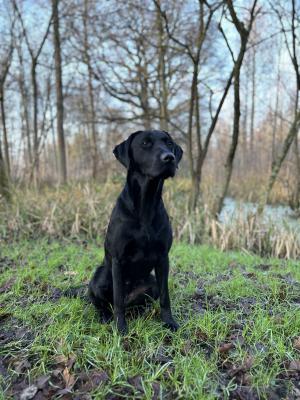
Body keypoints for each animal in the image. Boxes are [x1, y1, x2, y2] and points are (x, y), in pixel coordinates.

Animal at [88, 130, 183, 332]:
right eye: (145, 143)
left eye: (169, 143)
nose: (169, 158)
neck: (145, 204)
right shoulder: (118, 260)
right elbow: (118, 300)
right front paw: (121, 329)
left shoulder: (163, 258)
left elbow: (165, 296)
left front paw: (169, 322)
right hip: (100, 277)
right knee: (105, 303)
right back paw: (105, 317)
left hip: (151, 282)